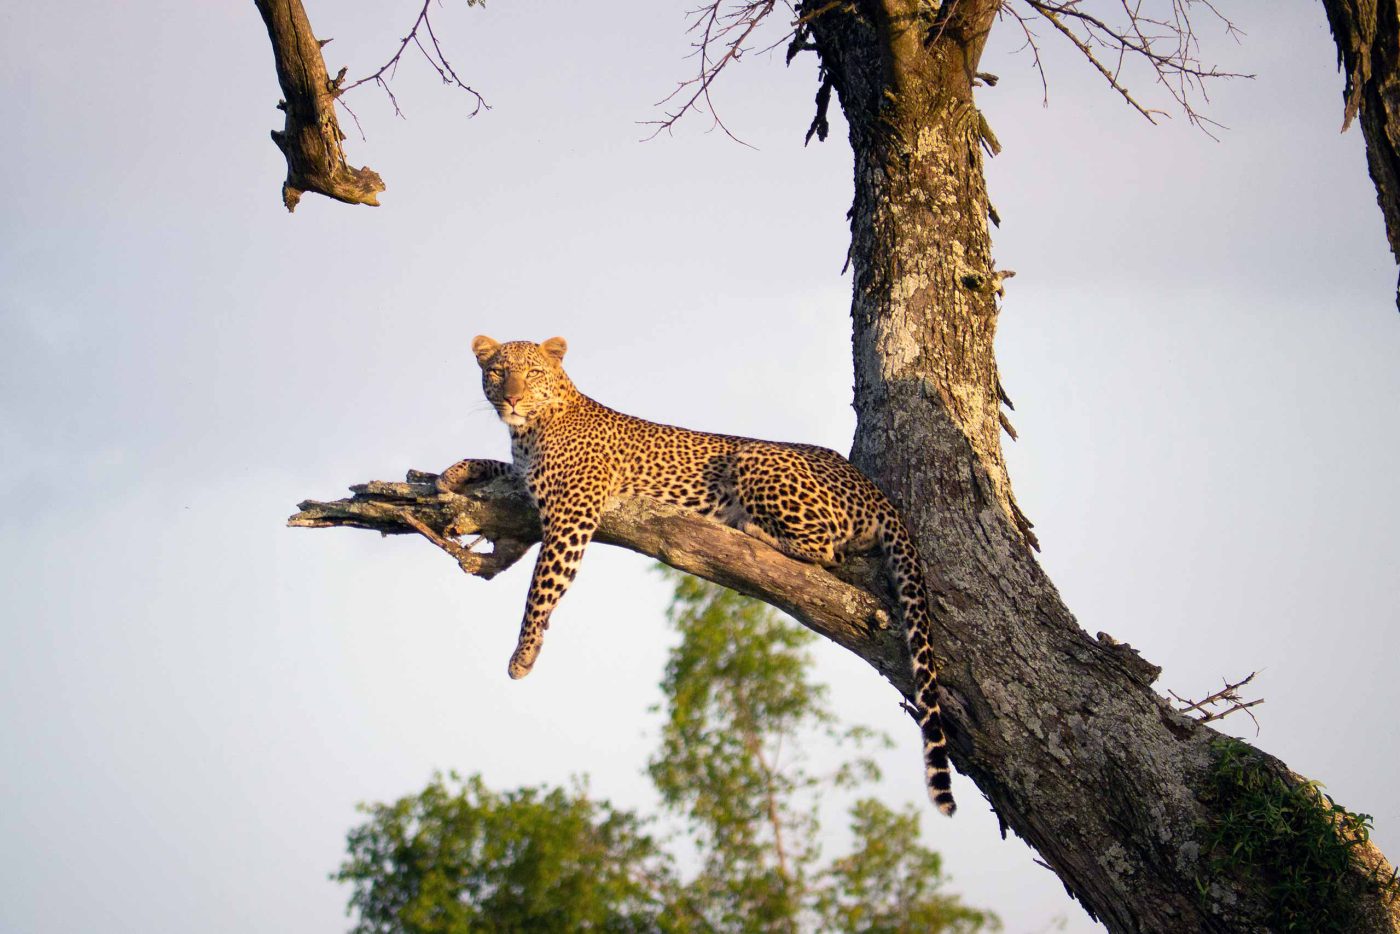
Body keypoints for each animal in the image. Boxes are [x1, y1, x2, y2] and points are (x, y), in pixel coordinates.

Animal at [437, 335, 956, 815]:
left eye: (532, 372)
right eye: (499, 372)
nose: (512, 399)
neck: (529, 431)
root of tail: (876, 490)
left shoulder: (572, 514)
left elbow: (542, 586)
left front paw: (523, 653)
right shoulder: (529, 483)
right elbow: (495, 467)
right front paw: (453, 472)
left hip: (756, 460)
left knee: (822, 547)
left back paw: (750, 528)